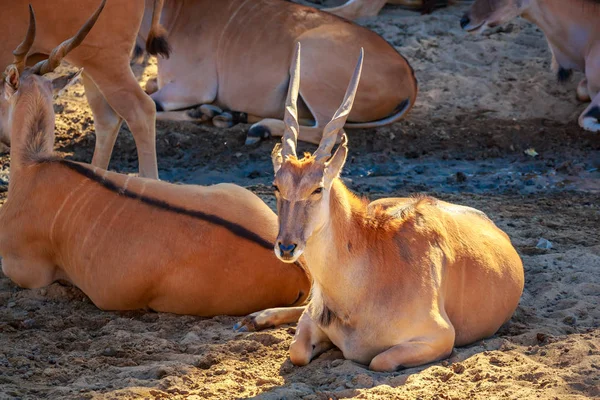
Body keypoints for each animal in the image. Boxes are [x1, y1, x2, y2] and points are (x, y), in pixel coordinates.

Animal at [234, 42, 524, 370]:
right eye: (276, 185)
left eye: (318, 188)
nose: (286, 247)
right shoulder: (312, 320)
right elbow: (297, 351)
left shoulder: (440, 337)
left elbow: (378, 361)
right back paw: (253, 319)